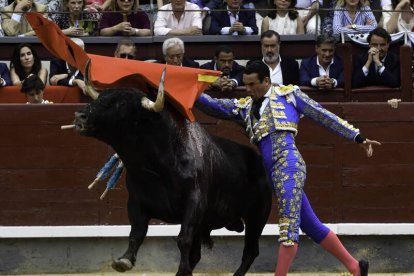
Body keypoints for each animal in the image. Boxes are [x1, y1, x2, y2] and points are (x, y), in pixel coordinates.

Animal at [74, 88, 274, 276]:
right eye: (100, 97)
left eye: (122, 103)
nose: (80, 115)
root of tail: (259, 160)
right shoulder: (136, 203)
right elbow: (136, 233)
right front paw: (125, 260)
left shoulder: (194, 202)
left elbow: (182, 239)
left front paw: (183, 270)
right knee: (198, 253)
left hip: (257, 217)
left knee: (250, 251)